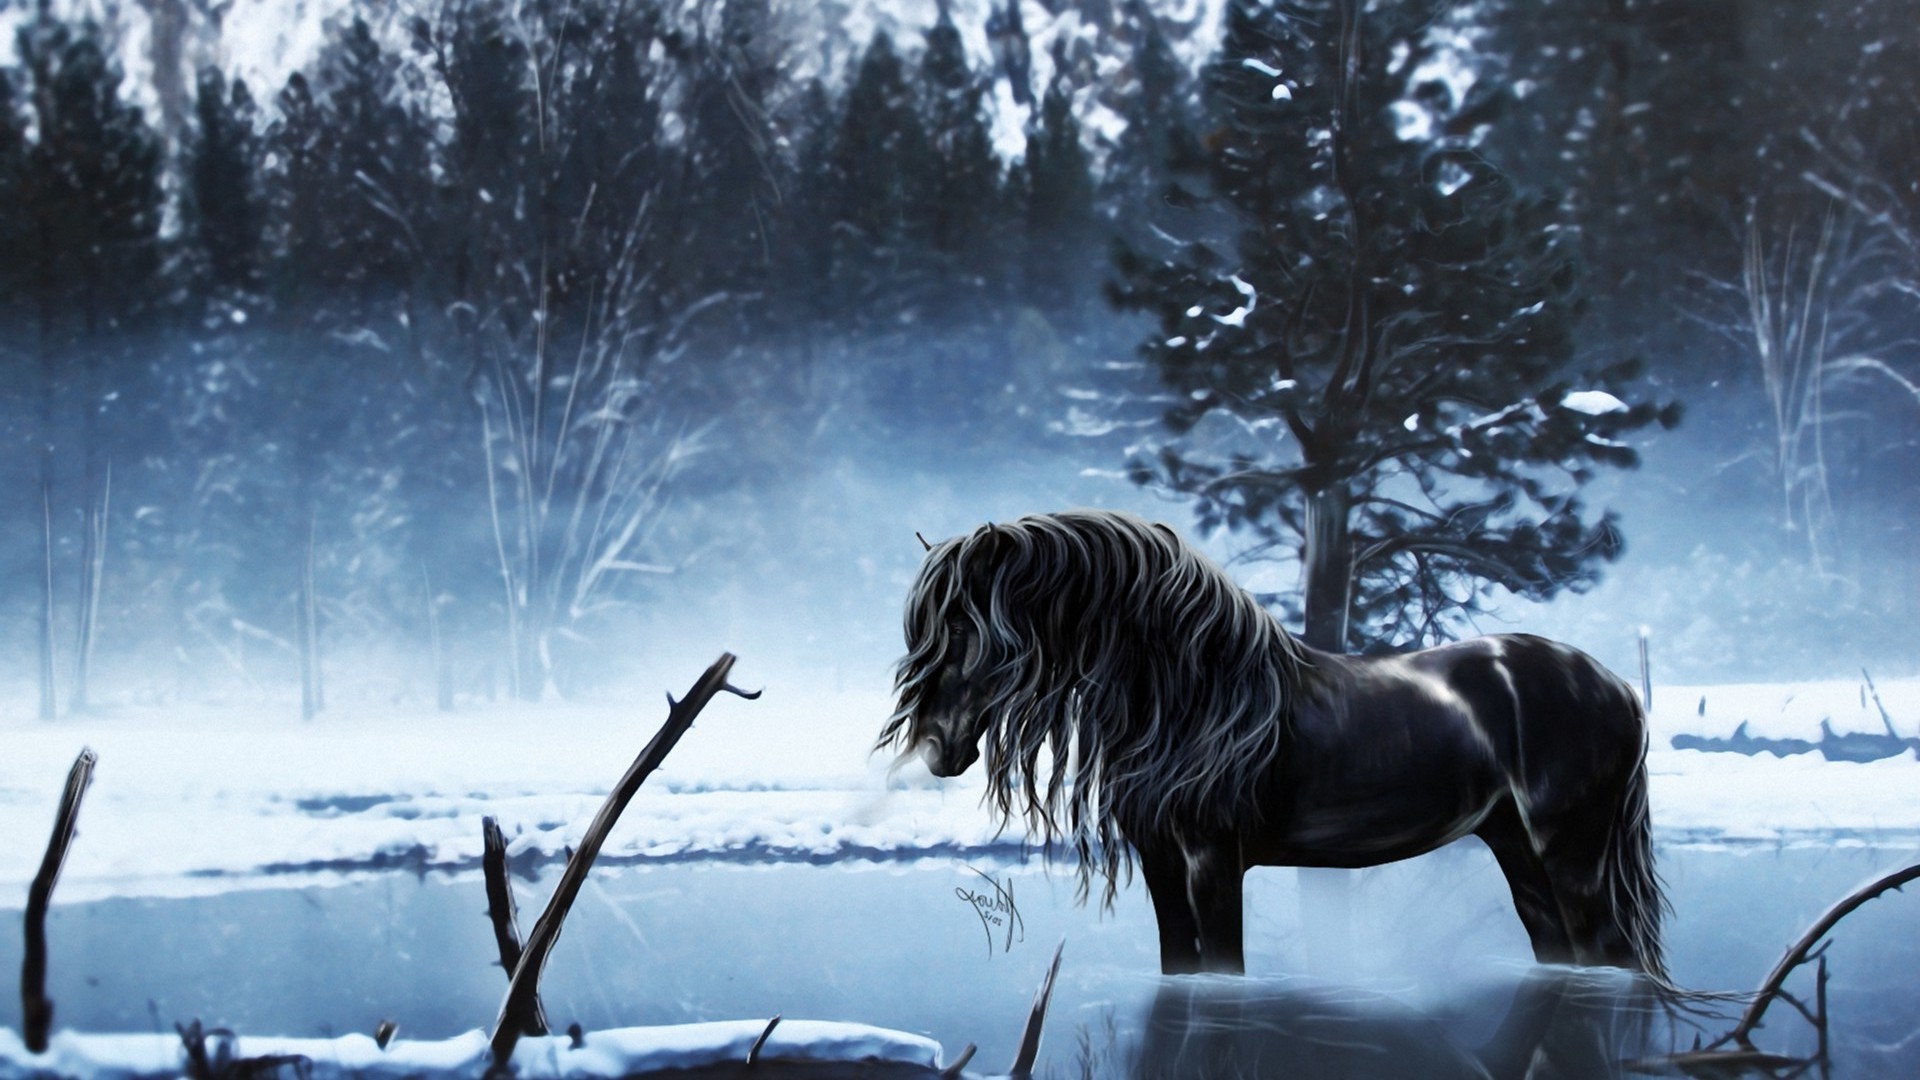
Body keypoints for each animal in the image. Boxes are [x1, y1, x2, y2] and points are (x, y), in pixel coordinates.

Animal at [879, 507, 1666, 972]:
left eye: (967, 627)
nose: (938, 748)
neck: (1194, 700)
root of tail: (1617, 687)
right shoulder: (1161, 864)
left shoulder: (1212, 863)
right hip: (1517, 850)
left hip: (1572, 854)